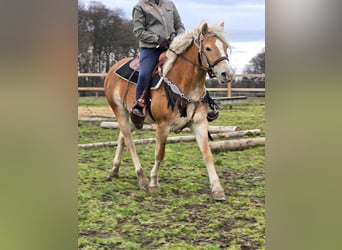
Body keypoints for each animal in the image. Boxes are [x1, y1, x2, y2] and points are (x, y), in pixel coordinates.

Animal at [103, 22, 232, 201]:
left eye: (225, 47)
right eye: (208, 48)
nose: (227, 74)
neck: (186, 85)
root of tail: (112, 68)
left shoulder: (200, 123)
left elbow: (207, 154)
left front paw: (217, 189)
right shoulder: (163, 126)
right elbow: (160, 153)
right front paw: (153, 183)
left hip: (134, 118)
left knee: (122, 136)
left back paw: (114, 170)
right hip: (119, 111)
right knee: (129, 141)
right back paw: (141, 178)